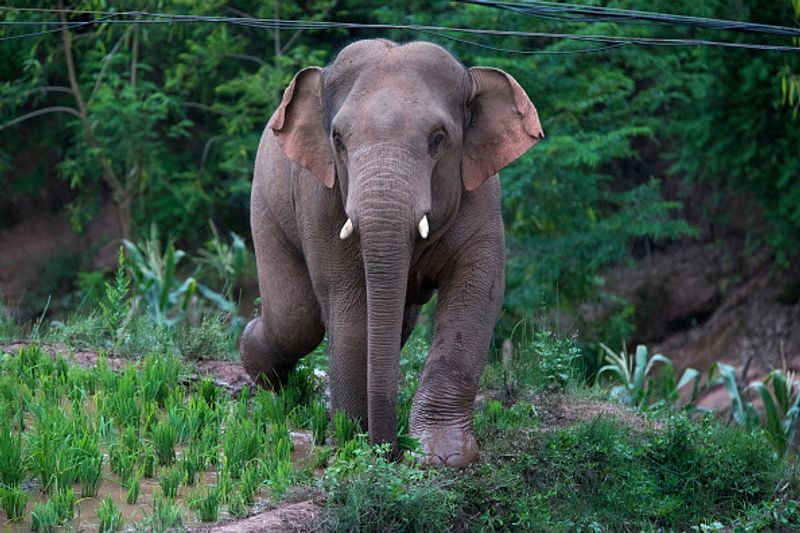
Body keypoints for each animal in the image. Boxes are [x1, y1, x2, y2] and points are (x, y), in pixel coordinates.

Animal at [241, 39, 544, 466]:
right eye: (338, 139)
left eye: (438, 138)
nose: (390, 451)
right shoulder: (319, 200)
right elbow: (348, 299)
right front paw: (352, 440)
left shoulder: (482, 197)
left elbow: (477, 290)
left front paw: (441, 457)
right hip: (265, 206)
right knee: (296, 317)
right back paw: (260, 367)